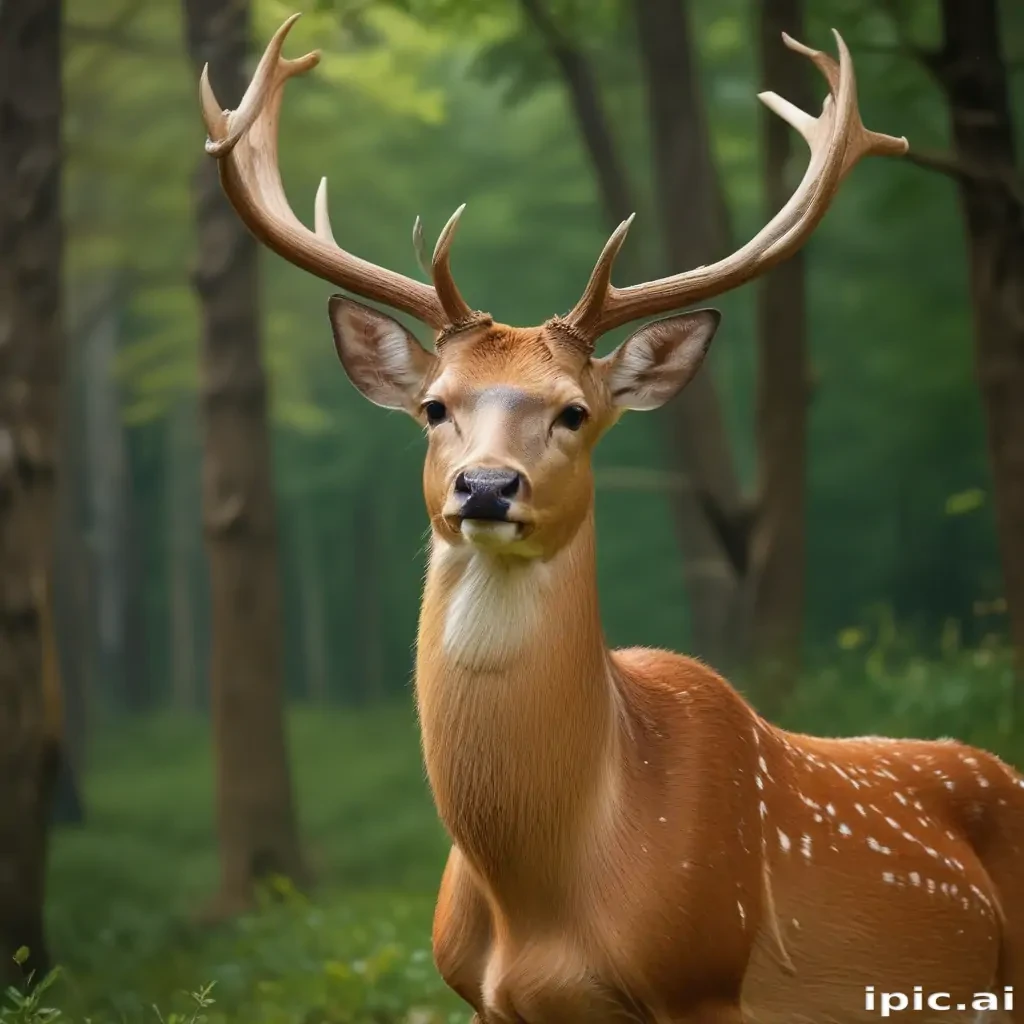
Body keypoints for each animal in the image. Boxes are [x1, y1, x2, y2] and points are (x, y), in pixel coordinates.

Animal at [198, 16, 1024, 1023]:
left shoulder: (702, 978)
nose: (485, 487)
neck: (542, 895)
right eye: (434, 407)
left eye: (574, 412)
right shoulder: (479, 996)